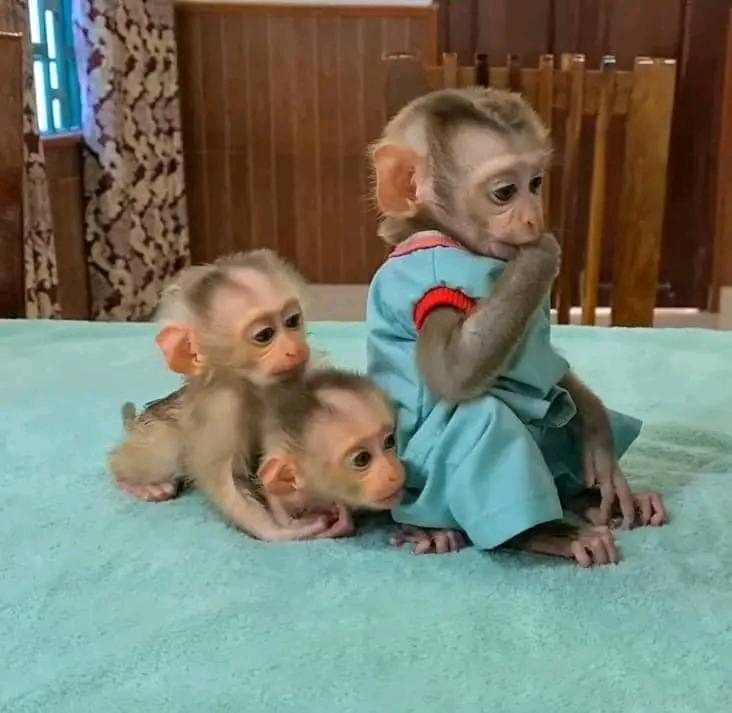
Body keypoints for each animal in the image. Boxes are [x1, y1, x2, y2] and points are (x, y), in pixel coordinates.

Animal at [108, 249, 334, 542]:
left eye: (292, 322)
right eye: (265, 335)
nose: (294, 350)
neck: (254, 387)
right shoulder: (221, 407)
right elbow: (224, 478)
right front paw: (280, 531)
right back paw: (135, 480)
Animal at [365, 87, 666, 566]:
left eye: (535, 184)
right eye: (505, 192)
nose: (533, 219)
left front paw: (597, 433)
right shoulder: (428, 267)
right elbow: (454, 372)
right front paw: (541, 255)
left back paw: (594, 498)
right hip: (417, 482)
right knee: (480, 417)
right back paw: (544, 533)